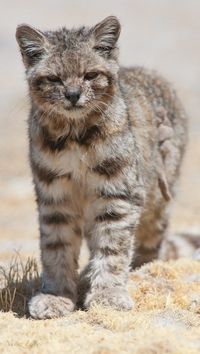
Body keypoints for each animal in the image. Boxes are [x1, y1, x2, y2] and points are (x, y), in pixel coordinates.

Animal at [15, 15, 197, 320]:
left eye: (90, 75)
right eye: (54, 78)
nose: (73, 94)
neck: (74, 135)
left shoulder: (118, 193)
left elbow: (113, 247)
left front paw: (107, 294)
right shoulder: (54, 195)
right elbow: (56, 248)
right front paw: (57, 295)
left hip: (158, 197)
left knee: (152, 241)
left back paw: (143, 270)